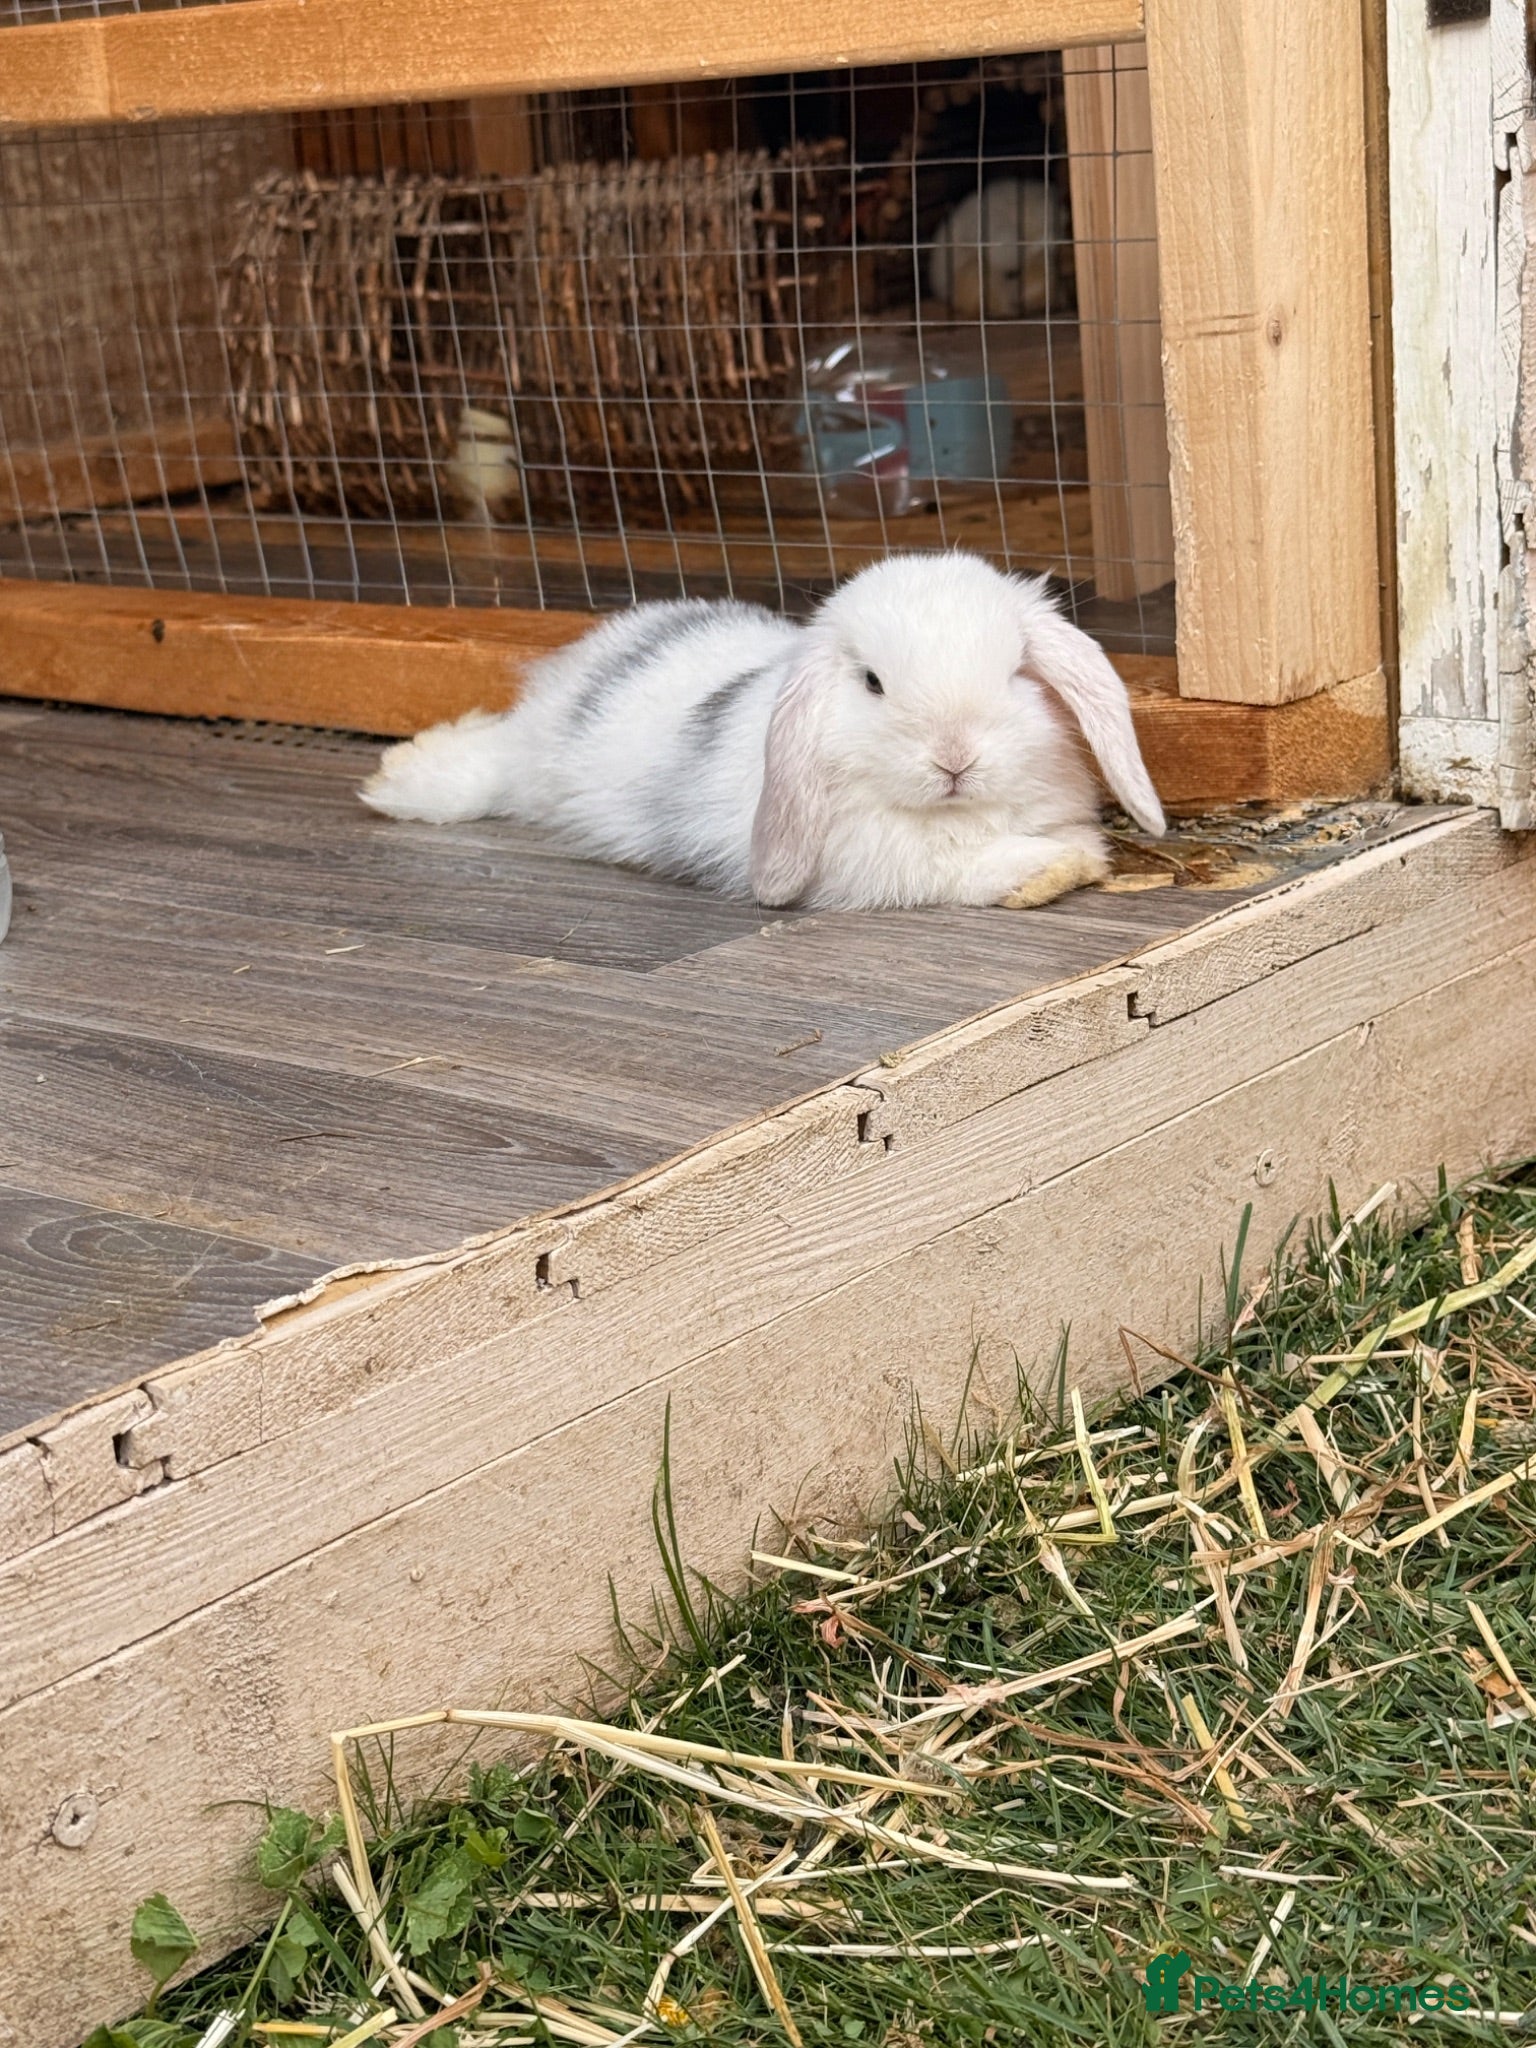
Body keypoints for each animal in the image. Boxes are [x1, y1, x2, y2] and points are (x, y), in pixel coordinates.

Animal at [360, 551, 1165, 913]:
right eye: (872, 682)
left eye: (1016, 672)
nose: (954, 759)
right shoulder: (871, 865)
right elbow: (954, 867)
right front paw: (1055, 865)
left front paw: (1074, 857)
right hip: (534, 761)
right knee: (492, 761)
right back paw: (398, 778)